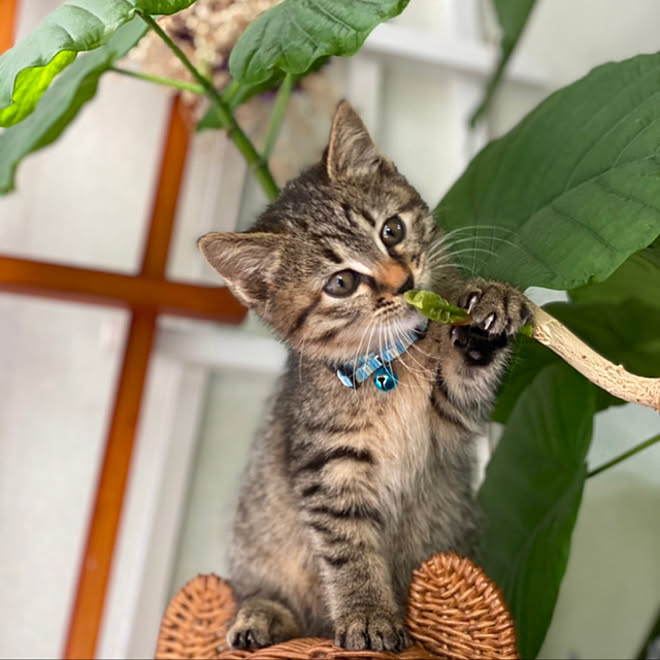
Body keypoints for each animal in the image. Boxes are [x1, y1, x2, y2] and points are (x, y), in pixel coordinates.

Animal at [197, 100, 532, 652]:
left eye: (391, 230)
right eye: (341, 283)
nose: (404, 280)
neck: (389, 365)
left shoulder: (449, 424)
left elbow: (466, 379)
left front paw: (488, 308)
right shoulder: (327, 466)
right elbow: (349, 551)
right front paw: (369, 615)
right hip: (256, 540)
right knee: (264, 588)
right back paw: (260, 616)